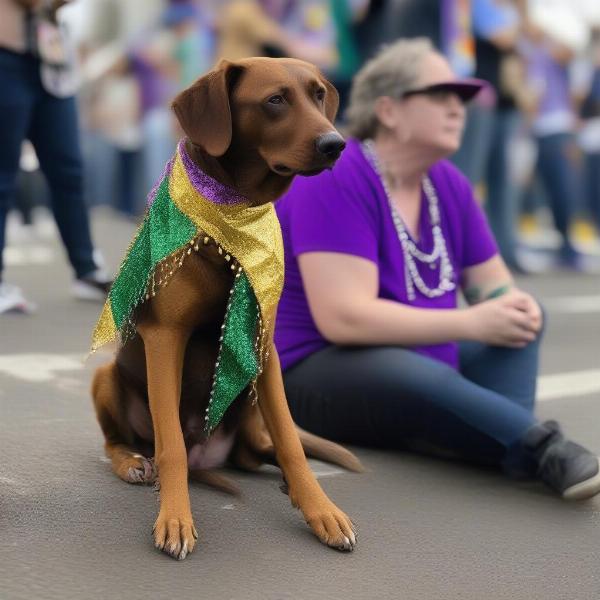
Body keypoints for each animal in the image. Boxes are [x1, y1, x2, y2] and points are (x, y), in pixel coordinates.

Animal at [89, 58, 360, 560]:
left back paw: (287, 485)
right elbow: (171, 445)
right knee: (121, 442)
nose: (335, 144)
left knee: (260, 451)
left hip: (248, 399)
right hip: (106, 377)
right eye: (275, 100)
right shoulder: (164, 337)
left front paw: (322, 510)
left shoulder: (263, 344)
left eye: (318, 95)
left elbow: (290, 441)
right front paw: (175, 519)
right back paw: (133, 463)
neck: (234, 221)